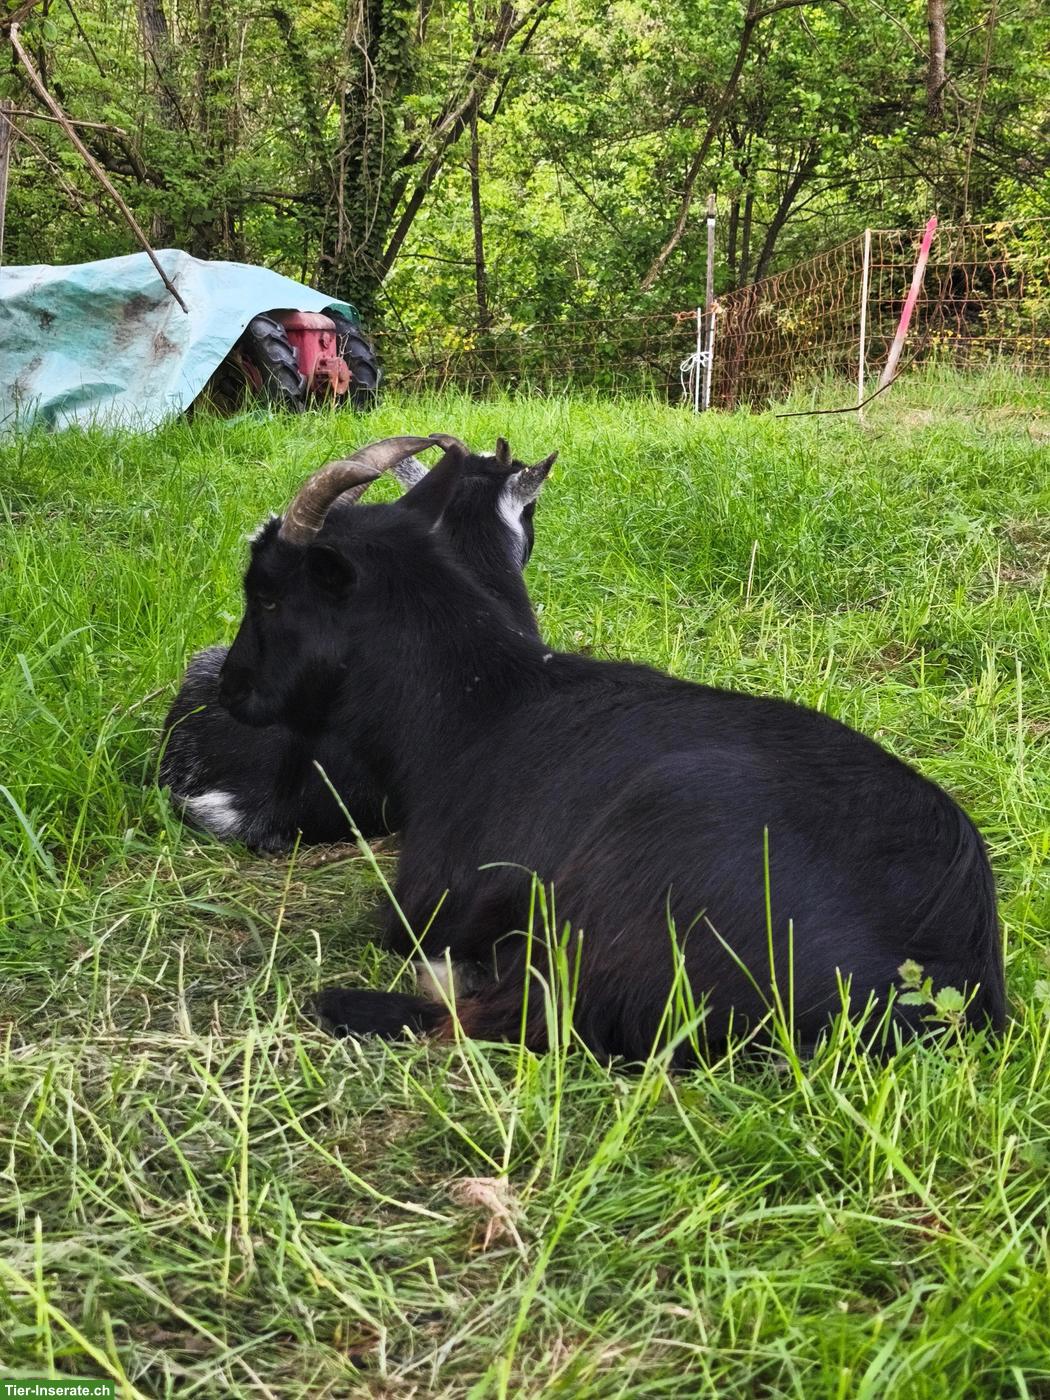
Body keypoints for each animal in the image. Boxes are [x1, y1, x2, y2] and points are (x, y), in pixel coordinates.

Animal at [218, 442, 1007, 1061]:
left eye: (267, 595)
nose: (228, 688)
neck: (474, 706)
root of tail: (942, 988)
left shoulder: (427, 905)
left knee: (517, 1016)